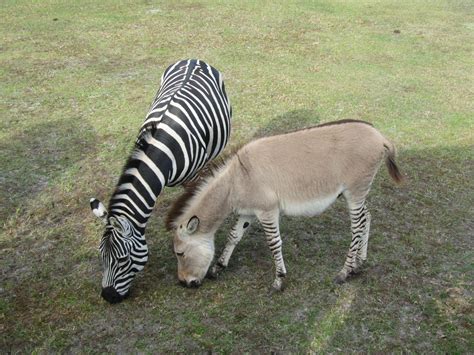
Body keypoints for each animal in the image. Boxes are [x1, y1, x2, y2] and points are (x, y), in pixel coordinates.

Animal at [90, 59, 232, 304]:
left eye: (122, 260)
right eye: (101, 256)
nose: (108, 297)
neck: (163, 148)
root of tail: (193, 59)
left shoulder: (193, 178)